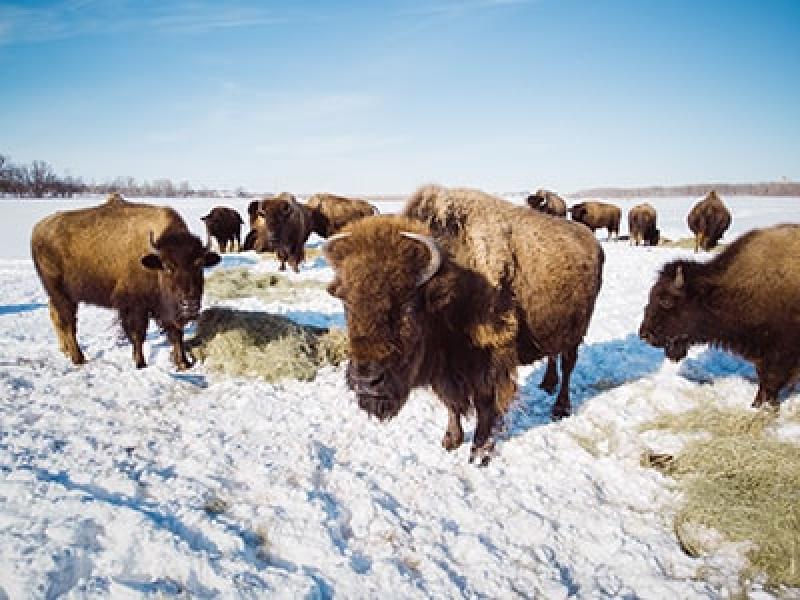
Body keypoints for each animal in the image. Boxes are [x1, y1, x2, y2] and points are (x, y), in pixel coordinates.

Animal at [31, 202, 220, 370]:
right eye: (167, 267)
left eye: (200, 265)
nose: (190, 304)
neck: (152, 262)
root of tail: (38, 228)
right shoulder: (134, 307)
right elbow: (138, 335)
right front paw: (141, 364)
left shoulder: (165, 310)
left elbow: (176, 333)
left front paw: (184, 364)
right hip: (62, 294)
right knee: (68, 324)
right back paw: (79, 359)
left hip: (60, 296)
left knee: (56, 316)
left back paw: (65, 351)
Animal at [322, 185, 604, 466]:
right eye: (347, 303)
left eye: (408, 305)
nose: (365, 381)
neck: (454, 286)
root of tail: (591, 241)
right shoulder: (445, 369)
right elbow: (451, 402)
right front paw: (450, 440)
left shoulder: (488, 361)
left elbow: (484, 403)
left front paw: (479, 451)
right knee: (553, 356)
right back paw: (546, 384)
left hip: (577, 332)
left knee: (568, 365)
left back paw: (560, 408)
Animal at [636, 223, 800, 410]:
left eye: (666, 300)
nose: (644, 334)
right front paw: (757, 405)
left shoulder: (779, 354)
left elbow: (770, 382)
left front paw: (762, 406)